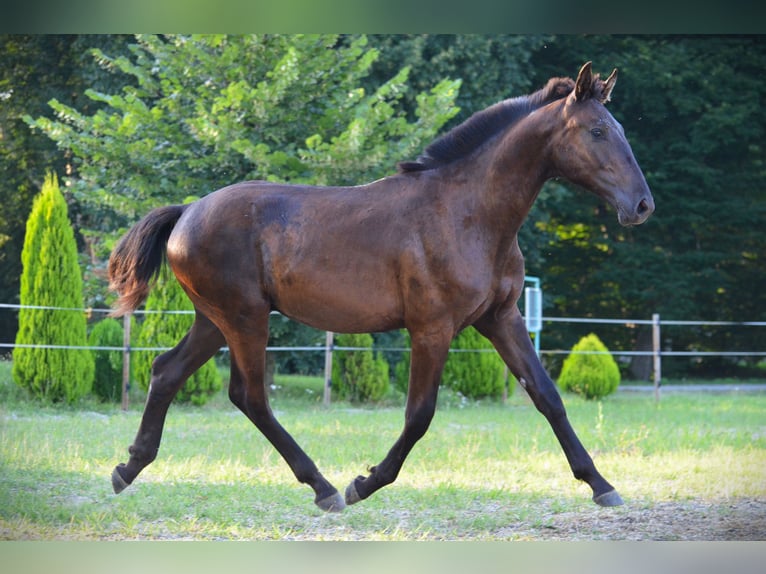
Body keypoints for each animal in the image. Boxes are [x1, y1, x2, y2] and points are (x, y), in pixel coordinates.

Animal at [111, 62, 656, 512]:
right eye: (598, 130)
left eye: (622, 129)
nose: (642, 205)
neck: (468, 213)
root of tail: (187, 212)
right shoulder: (432, 329)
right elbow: (419, 415)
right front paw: (365, 482)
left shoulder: (500, 318)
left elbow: (547, 395)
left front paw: (602, 485)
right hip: (245, 318)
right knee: (250, 396)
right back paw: (325, 489)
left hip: (215, 319)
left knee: (166, 372)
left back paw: (127, 468)